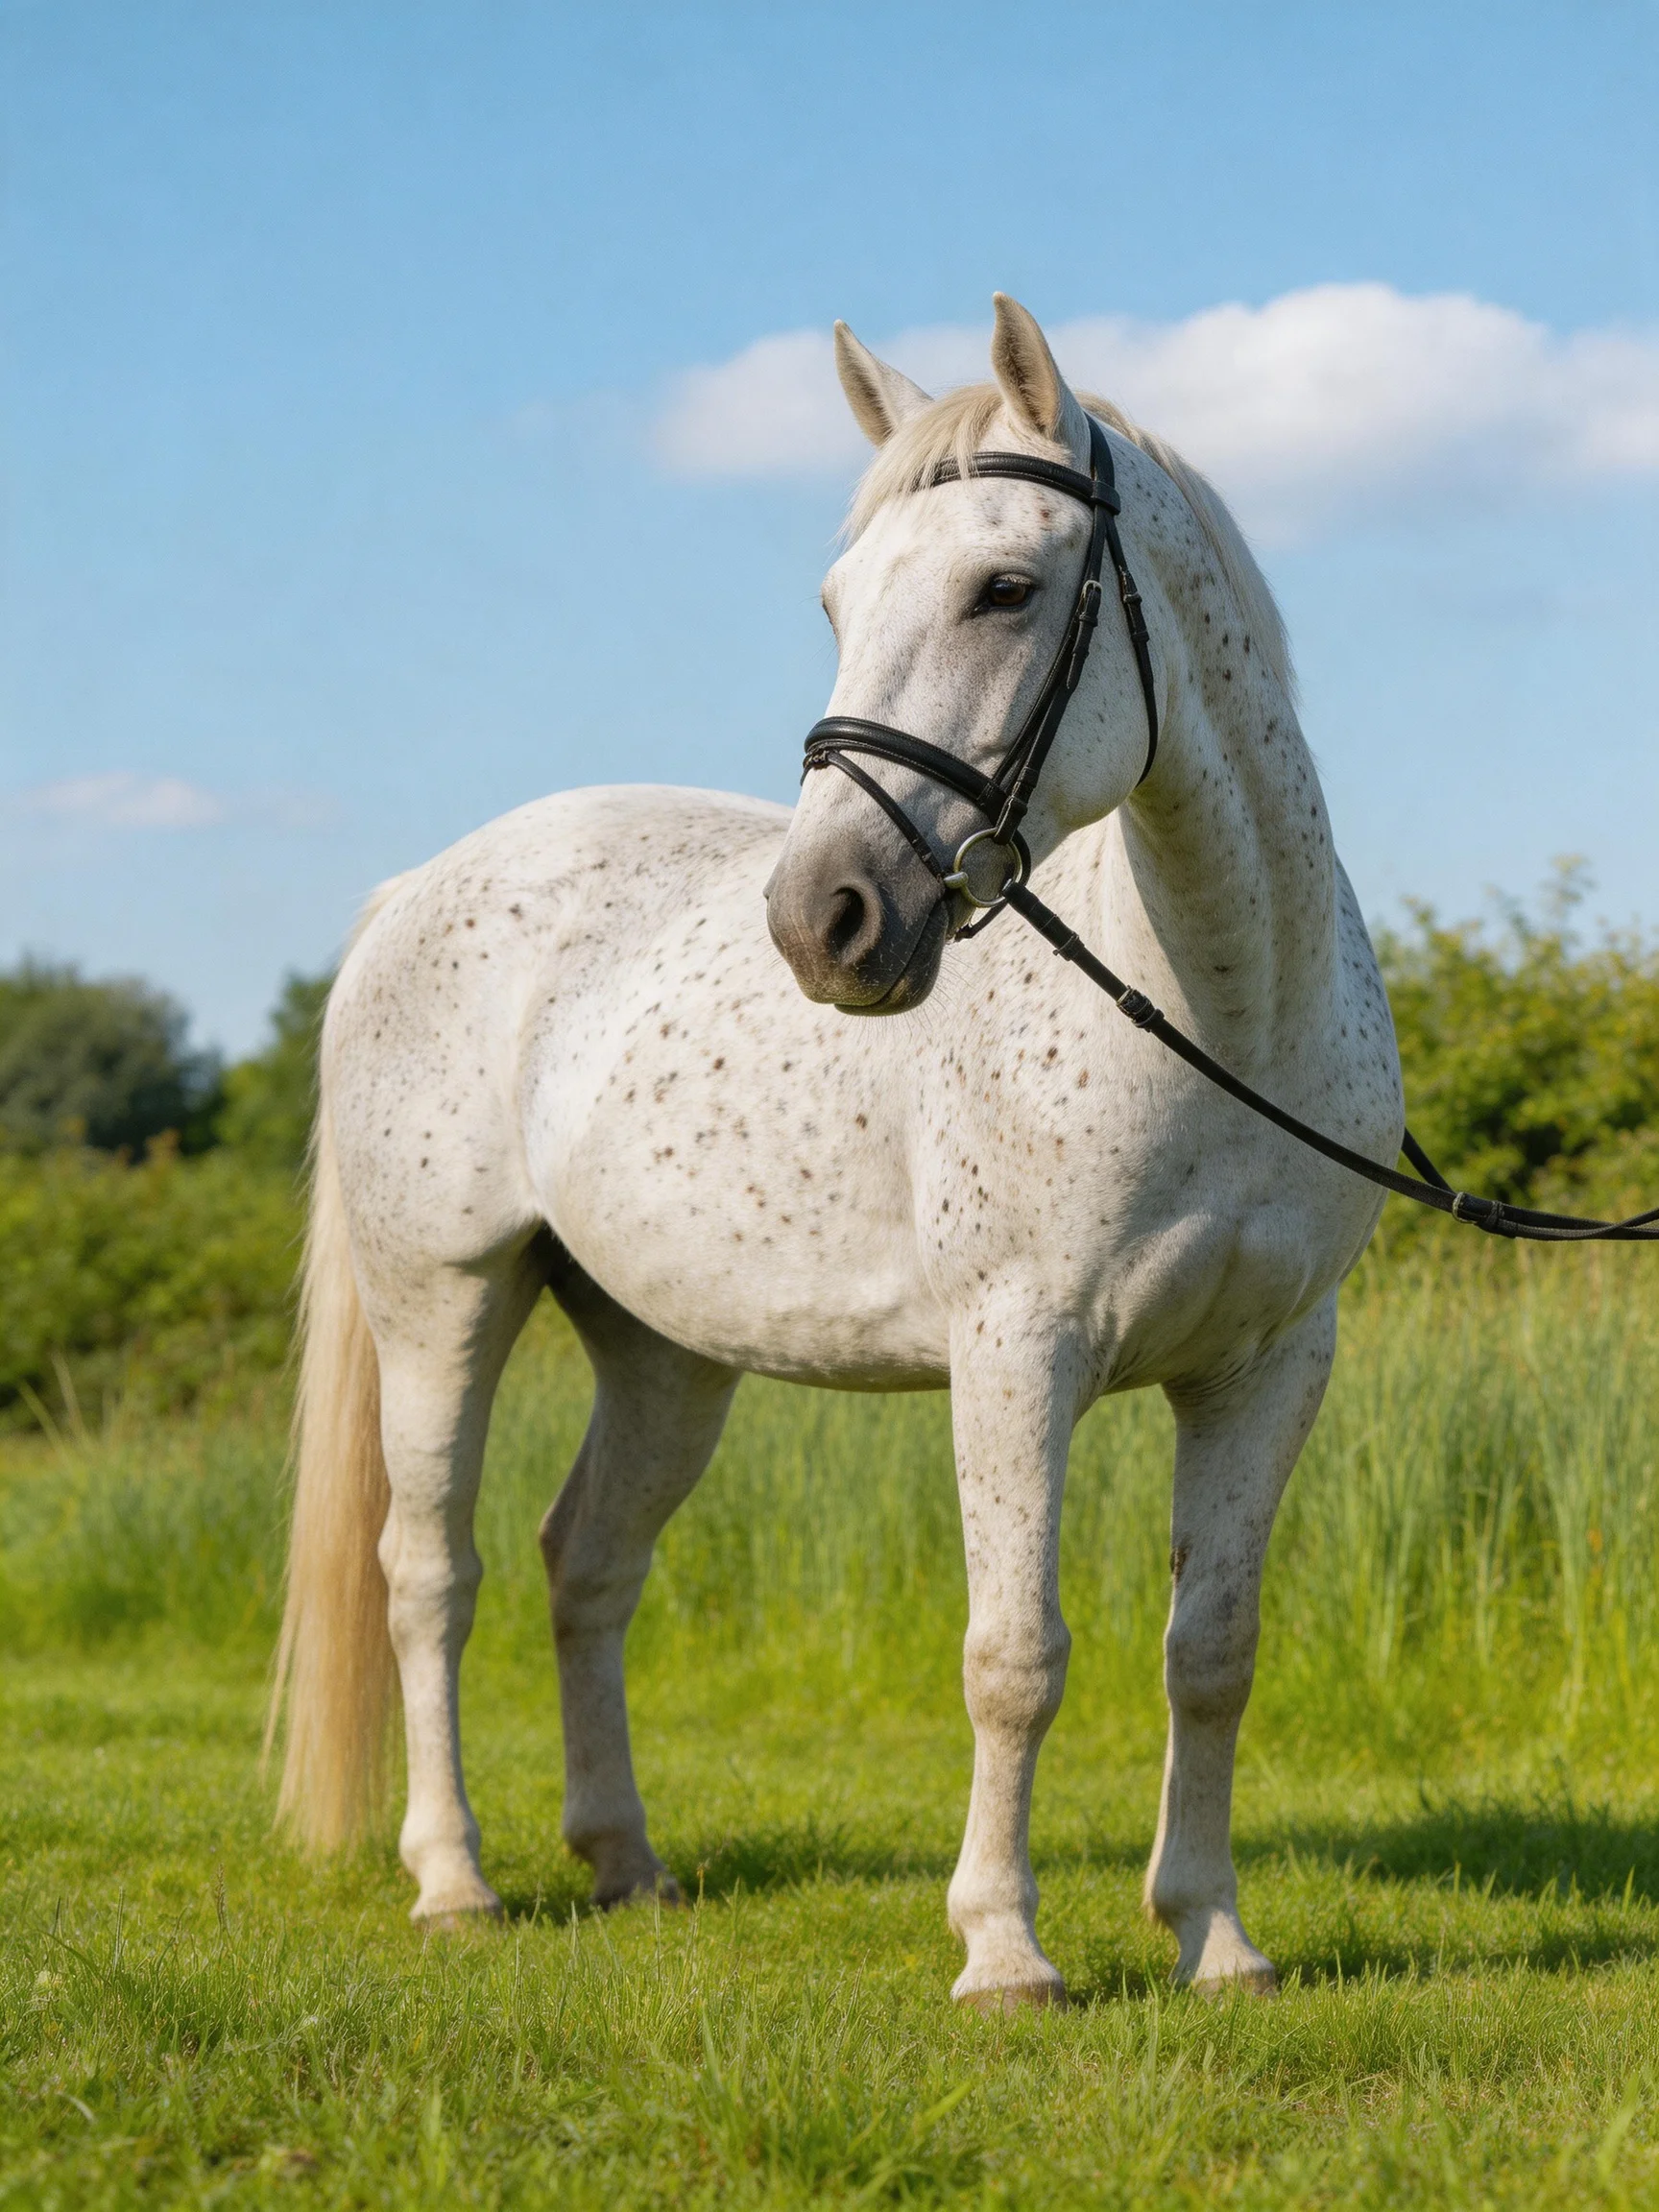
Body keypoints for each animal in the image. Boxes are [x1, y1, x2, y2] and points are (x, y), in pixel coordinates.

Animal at [268, 293, 1403, 2009]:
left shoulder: (1270, 1365)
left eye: (1005, 588)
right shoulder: (1019, 1352)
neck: (1218, 1010)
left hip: (663, 1355)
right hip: (442, 1303)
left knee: (587, 1561)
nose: (823, 921)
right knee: (429, 1573)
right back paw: (454, 1882)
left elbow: (1212, 1653)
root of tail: (420, 886)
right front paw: (1003, 1949)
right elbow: (1015, 1656)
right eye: (835, 600)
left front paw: (1214, 1936)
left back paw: (628, 1865)